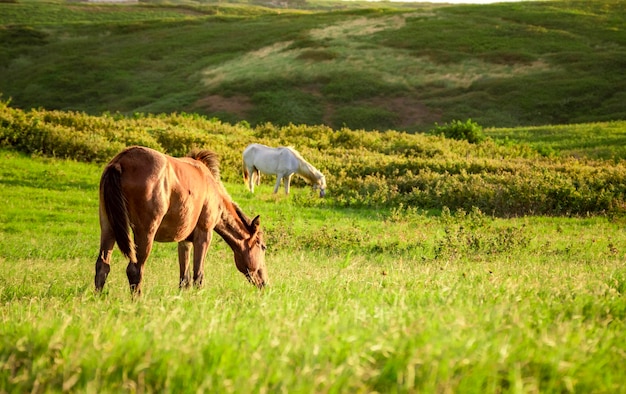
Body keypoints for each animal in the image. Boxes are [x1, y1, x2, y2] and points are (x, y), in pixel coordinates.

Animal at [94, 146, 266, 294]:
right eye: (263, 247)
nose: (264, 283)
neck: (212, 187)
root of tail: (120, 162)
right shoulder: (204, 233)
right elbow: (198, 275)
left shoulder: (184, 241)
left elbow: (184, 278)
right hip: (145, 233)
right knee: (134, 269)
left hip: (108, 227)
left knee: (103, 265)